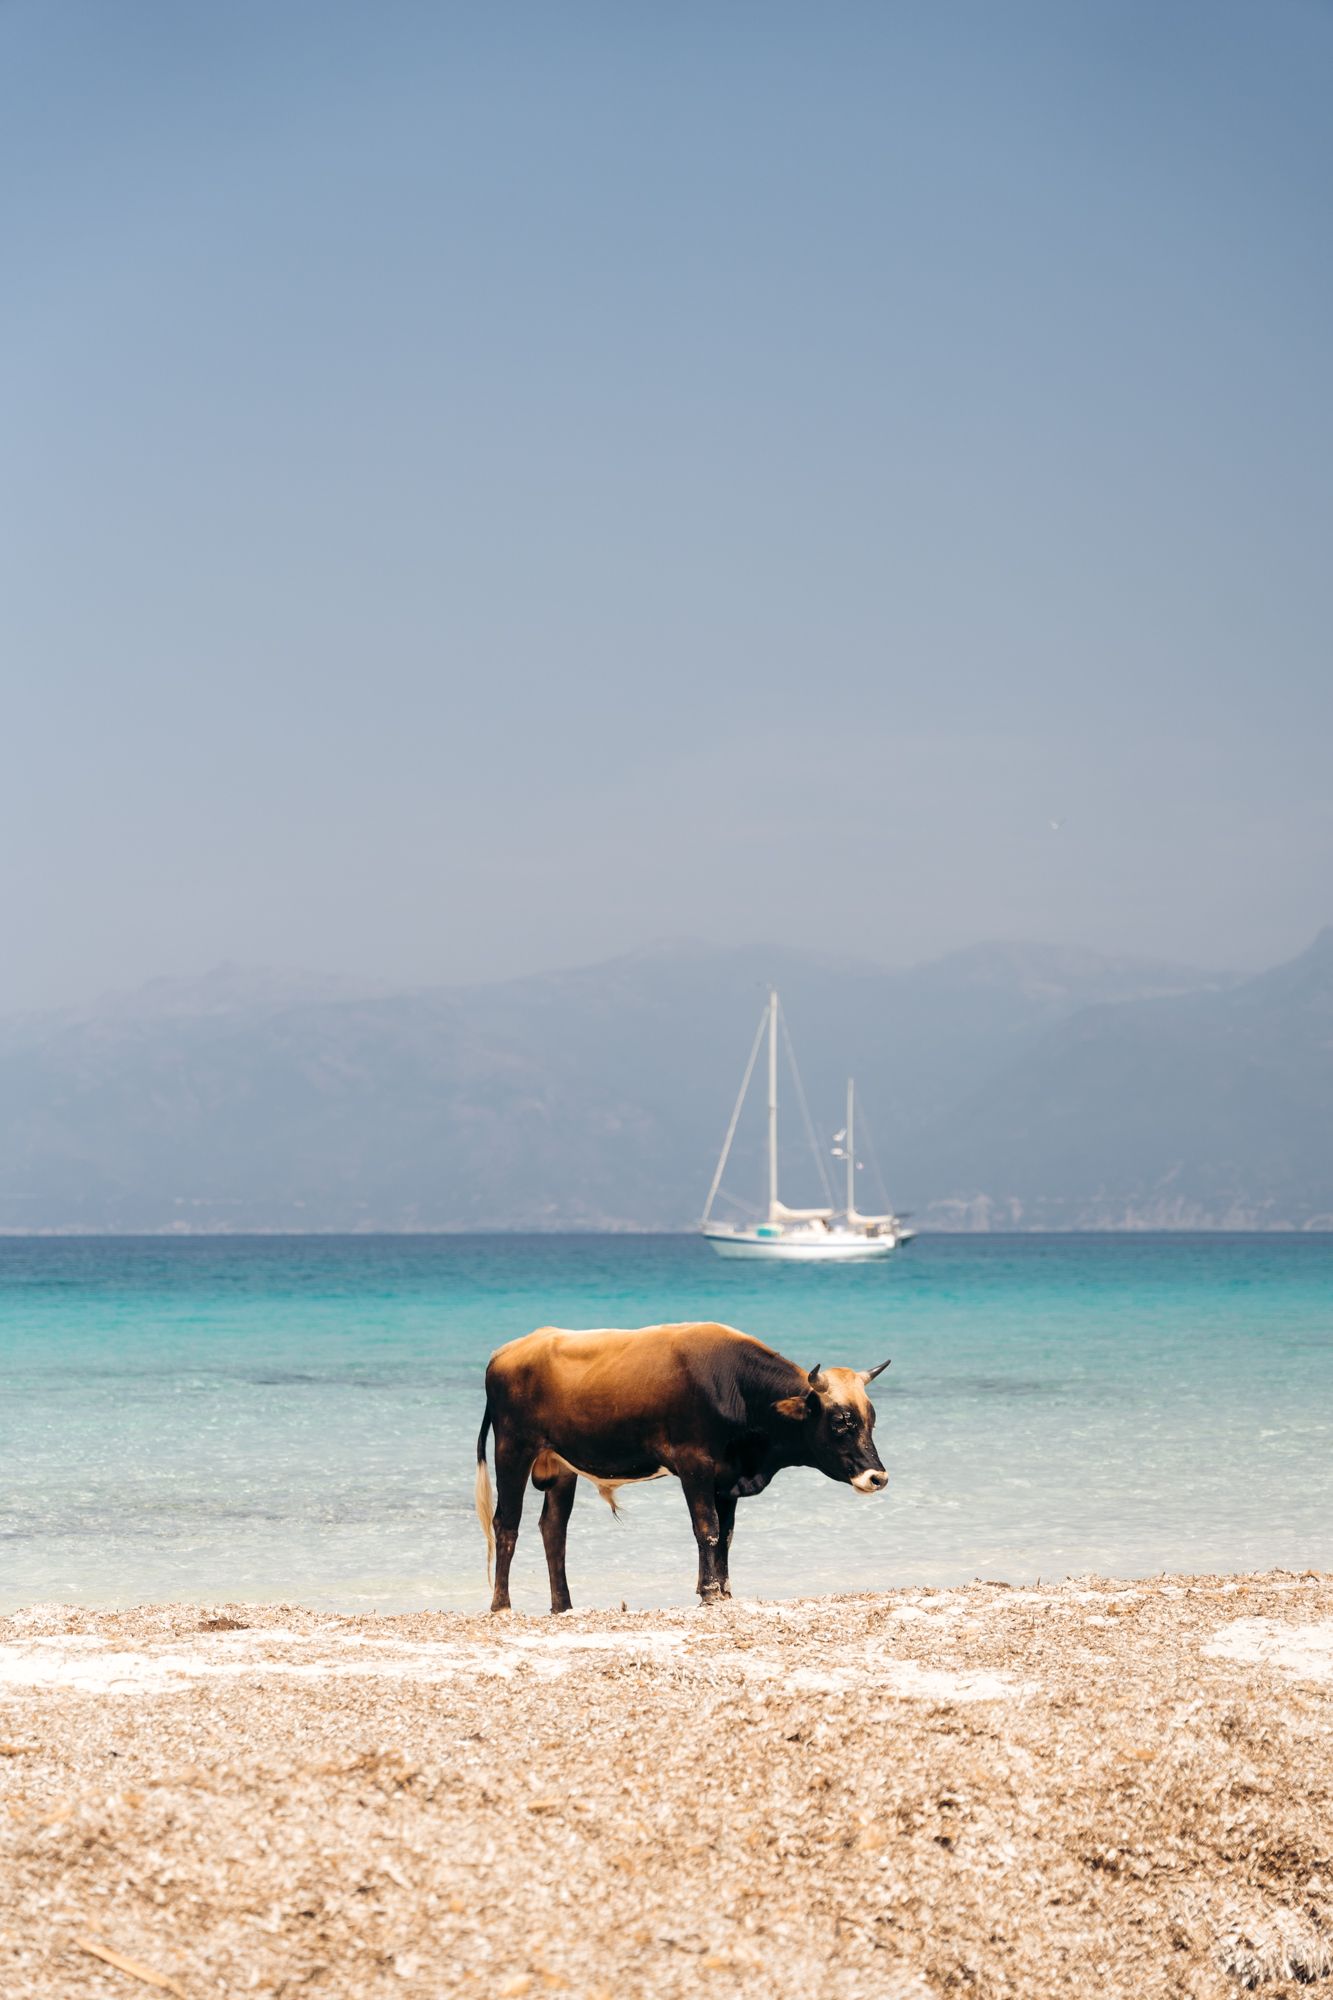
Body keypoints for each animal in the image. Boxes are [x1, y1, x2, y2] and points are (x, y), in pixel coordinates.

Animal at [474, 1320, 890, 1611]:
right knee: (506, 1524)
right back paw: (502, 1605)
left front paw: (725, 1592)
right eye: (840, 1422)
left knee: (553, 1530)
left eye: (871, 1420)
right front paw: (708, 1593)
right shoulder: (694, 1465)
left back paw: (563, 1607)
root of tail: (505, 1352)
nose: (878, 1476)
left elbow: (726, 1535)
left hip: (561, 1466)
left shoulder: (727, 1478)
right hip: (513, 1450)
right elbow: (707, 1529)